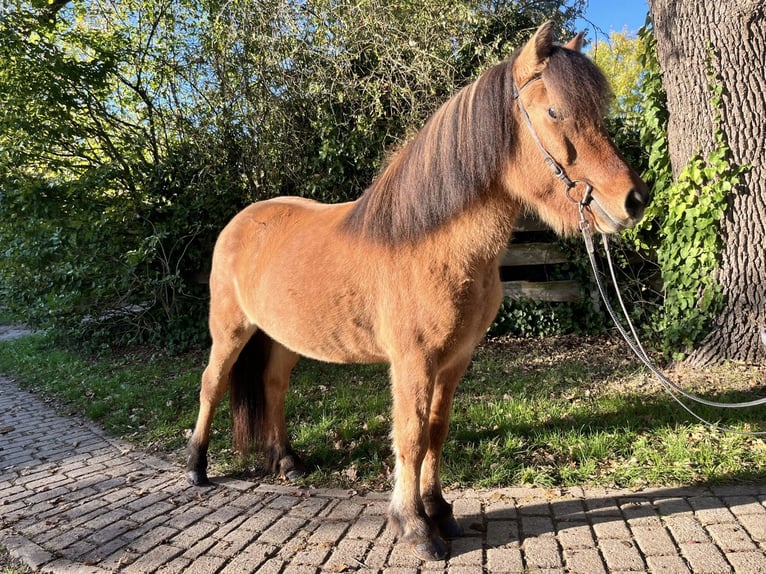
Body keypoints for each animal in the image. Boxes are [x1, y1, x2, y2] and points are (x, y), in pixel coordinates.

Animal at [186, 22, 648, 564]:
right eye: (554, 111)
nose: (634, 199)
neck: (432, 244)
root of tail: (241, 222)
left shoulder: (454, 360)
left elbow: (436, 432)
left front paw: (440, 511)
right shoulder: (413, 362)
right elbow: (409, 436)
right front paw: (413, 527)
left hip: (281, 337)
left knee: (274, 386)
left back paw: (287, 462)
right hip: (230, 331)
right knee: (211, 384)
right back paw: (196, 466)